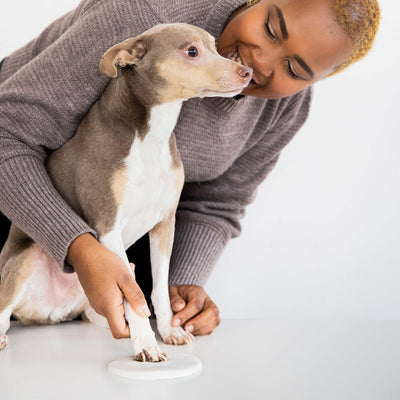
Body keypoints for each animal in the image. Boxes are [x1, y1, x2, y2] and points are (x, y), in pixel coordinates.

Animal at [0, 22, 252, 362]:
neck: (151, 136)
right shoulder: (108, 226)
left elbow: (157, 289)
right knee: (5, 311)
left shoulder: (165, 223)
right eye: (192, 51)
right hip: (26, 260)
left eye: (216, 46)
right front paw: (146, 344)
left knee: (92, 312)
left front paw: (169, 331)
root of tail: (51, 313)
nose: (247, 72)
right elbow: (134, 298)